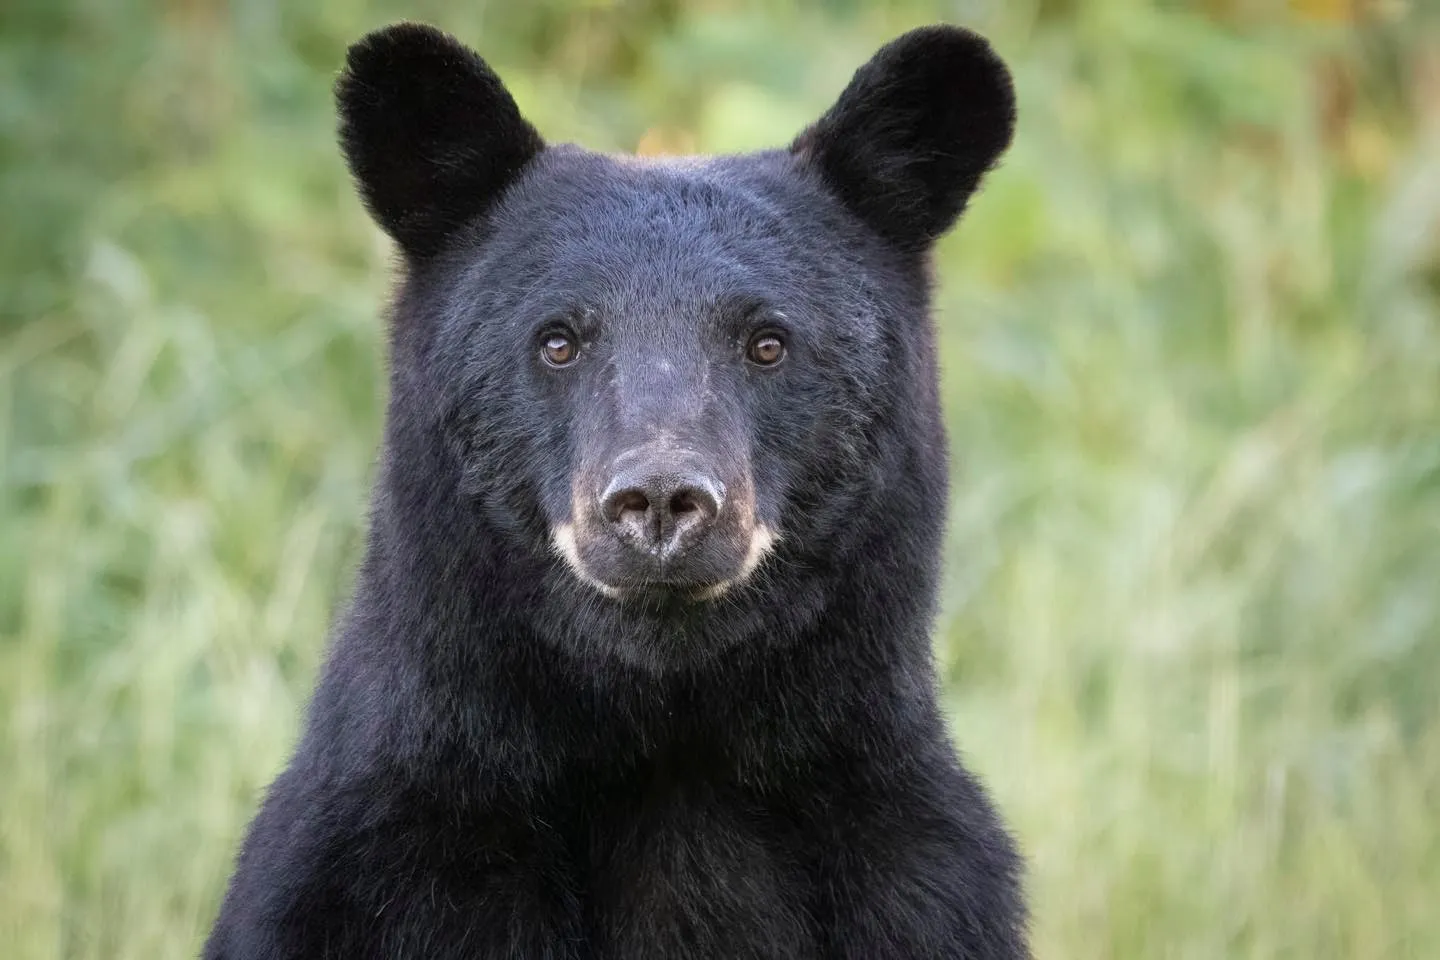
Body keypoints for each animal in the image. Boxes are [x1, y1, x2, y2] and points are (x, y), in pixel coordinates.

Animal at [205, 20, 1025, 960]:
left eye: (768, 342)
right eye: (558, 340)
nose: (662, 499)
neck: (667, 749)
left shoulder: (917, 884)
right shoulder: (377, 879)